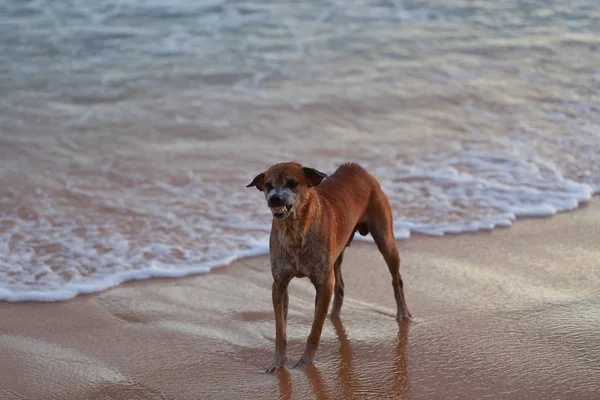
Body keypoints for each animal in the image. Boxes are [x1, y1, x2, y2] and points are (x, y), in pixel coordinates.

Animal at [246, 162, 410, 372]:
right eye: (268, 185)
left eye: (292, 183)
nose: (274, 198)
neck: (295, 230)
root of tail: (358, 168)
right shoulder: (279, 284)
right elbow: (279, 329)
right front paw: (278, 362)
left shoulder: (323, 283)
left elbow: (315, 328)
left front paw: (306, 362)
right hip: (337, 254)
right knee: (340, 284)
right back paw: (334, 315)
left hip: (385, 238)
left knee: (397, 279)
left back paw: (403, 313)